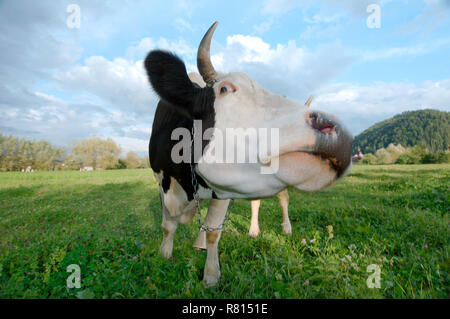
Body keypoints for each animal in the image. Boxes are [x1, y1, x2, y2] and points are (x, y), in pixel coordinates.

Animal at [146, 21, 354, 288]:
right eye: (225, 89)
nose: (335, 130)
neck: (186, 185)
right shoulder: (161, 180)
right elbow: (167, 226)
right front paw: (164, 255)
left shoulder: (221, 191)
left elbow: (214, 231)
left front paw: (210, 275)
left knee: (283, 198)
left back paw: (286, 227)